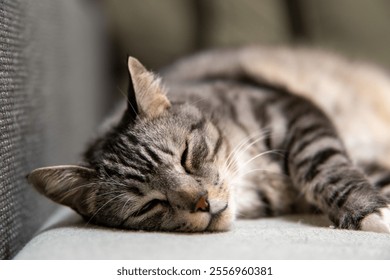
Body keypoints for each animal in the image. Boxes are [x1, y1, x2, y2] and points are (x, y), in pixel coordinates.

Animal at [26, 46, 390, 233]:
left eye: (186, 156)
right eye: (148, 205)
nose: (202, 202)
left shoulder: (292, 109)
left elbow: (322, 165)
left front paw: (368, 210)